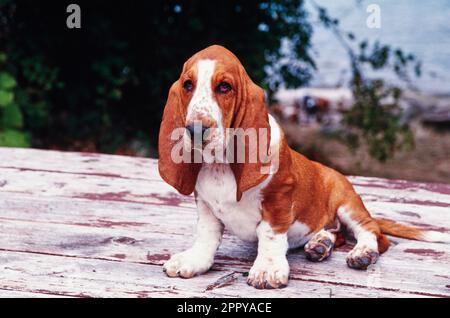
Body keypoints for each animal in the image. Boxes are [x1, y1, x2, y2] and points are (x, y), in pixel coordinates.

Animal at [156, 44, 448, 288]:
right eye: (188, 85)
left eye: (225, 87)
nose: (195, 130)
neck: (220, 165)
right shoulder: (205, 204)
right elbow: (207, 235)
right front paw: (193, 260)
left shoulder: (279, 199)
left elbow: (270, 234)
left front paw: (267, 270)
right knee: (337, 233)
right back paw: (320, 244)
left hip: (348, 203)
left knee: (373, 233)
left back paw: (362, 252)